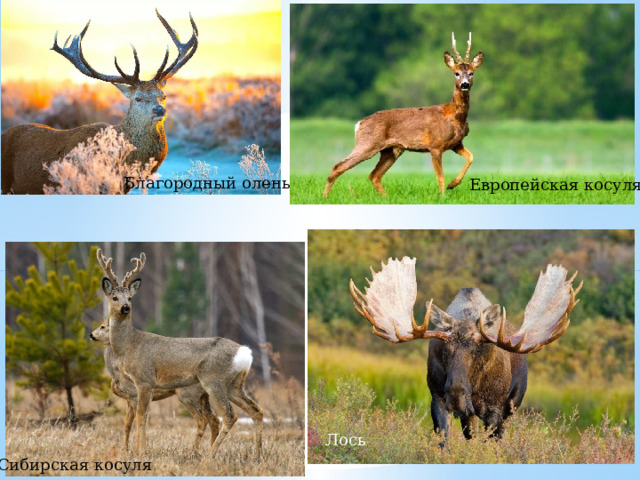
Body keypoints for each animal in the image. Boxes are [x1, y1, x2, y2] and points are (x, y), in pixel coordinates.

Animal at [90, 319, 220, 452]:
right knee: (214, 420)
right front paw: (125, 449)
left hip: (188, 394)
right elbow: (127, 424)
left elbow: (139, 419)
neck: (117, 373)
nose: (91, 335)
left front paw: (137, 449)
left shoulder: (134, 395)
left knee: (202, 420)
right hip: (203, 396)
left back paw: (195, 451)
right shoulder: (128, 399)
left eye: (102, 326)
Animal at [323, 33, 483, 197]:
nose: (465, 84)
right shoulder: (435, 145)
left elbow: (471, 157)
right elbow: (440, 176)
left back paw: (386, 198)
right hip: (368, 143)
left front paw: (453, 184)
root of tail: (359, 124)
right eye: (456, 73)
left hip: (391, 150)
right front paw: (443, 196)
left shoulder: (456, 143)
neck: (455, 117)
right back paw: (325, 197)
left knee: (374, 175)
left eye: (471, 73)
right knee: (338, 167)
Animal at [350, 257, 582, 441]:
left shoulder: (495, 409)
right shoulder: (437, 398)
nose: (456, 395)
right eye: (445, 348)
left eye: (478, 349)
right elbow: (444, 441)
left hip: (512, 404)